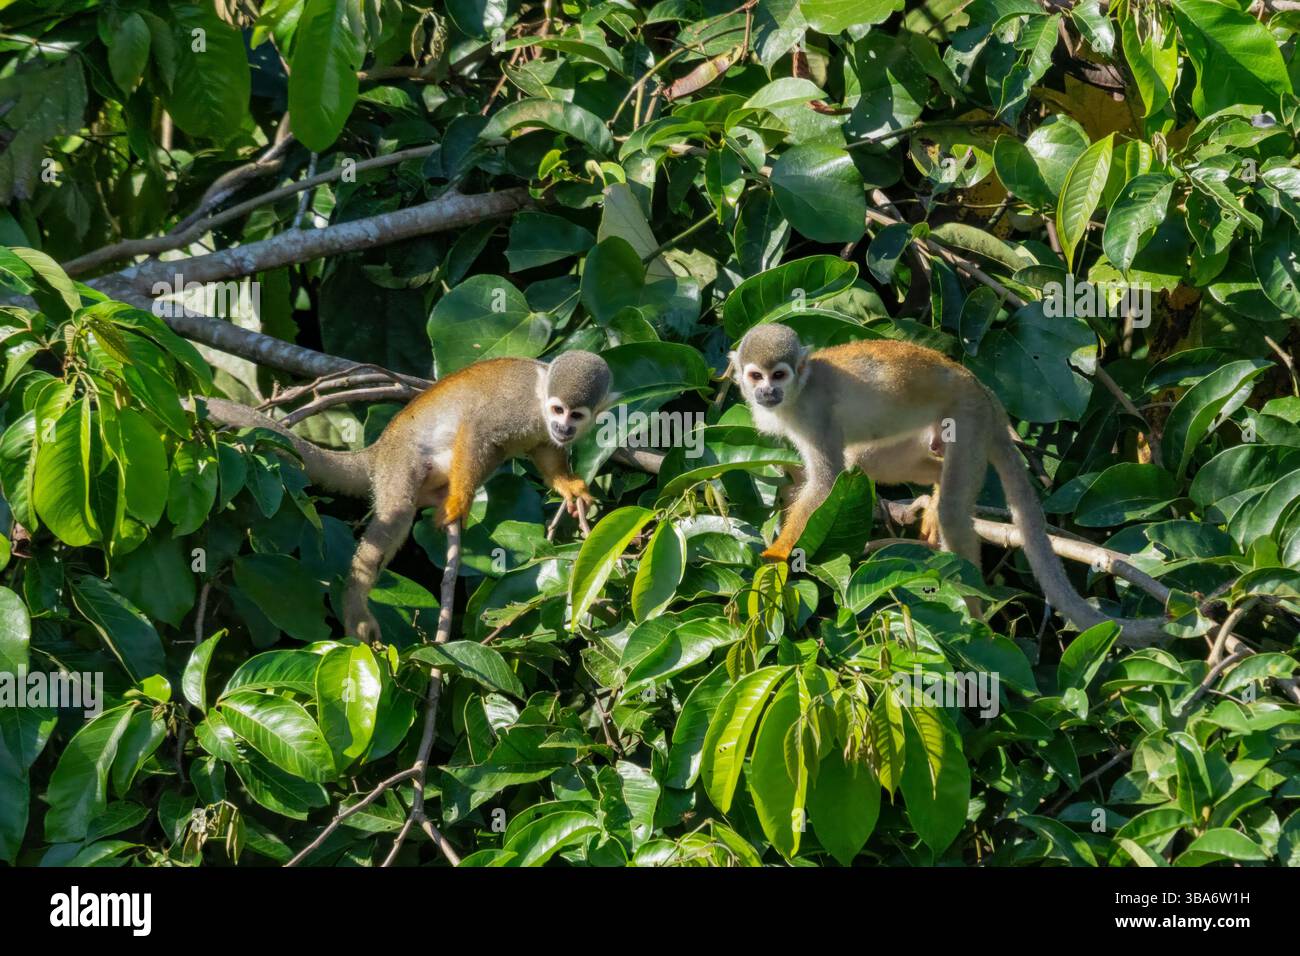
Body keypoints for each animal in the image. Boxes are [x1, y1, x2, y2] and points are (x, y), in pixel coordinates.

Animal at [199, 351, 613, 644]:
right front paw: (459, 502)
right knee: (397, 511)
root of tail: (378, 450)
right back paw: (355, 605)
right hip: (400, 460)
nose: (563, 427)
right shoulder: (515, 409)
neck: (539, 408)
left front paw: (570, 486)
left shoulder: (546, 433)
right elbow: (477, 429)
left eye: (576, 416)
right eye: (558, 409)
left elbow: (546, 451)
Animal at [729, 323, 1170, 644]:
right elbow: (834, 475)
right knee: (870, 461)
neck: (796, 396)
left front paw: (778, 553)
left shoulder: (815, 415)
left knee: (955, 513)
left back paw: (975, 617)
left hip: (968, 419)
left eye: (779, 374)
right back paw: (933, 491)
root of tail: (985, 395)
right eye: (756, 375)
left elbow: (827, 480)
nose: (766, 391)